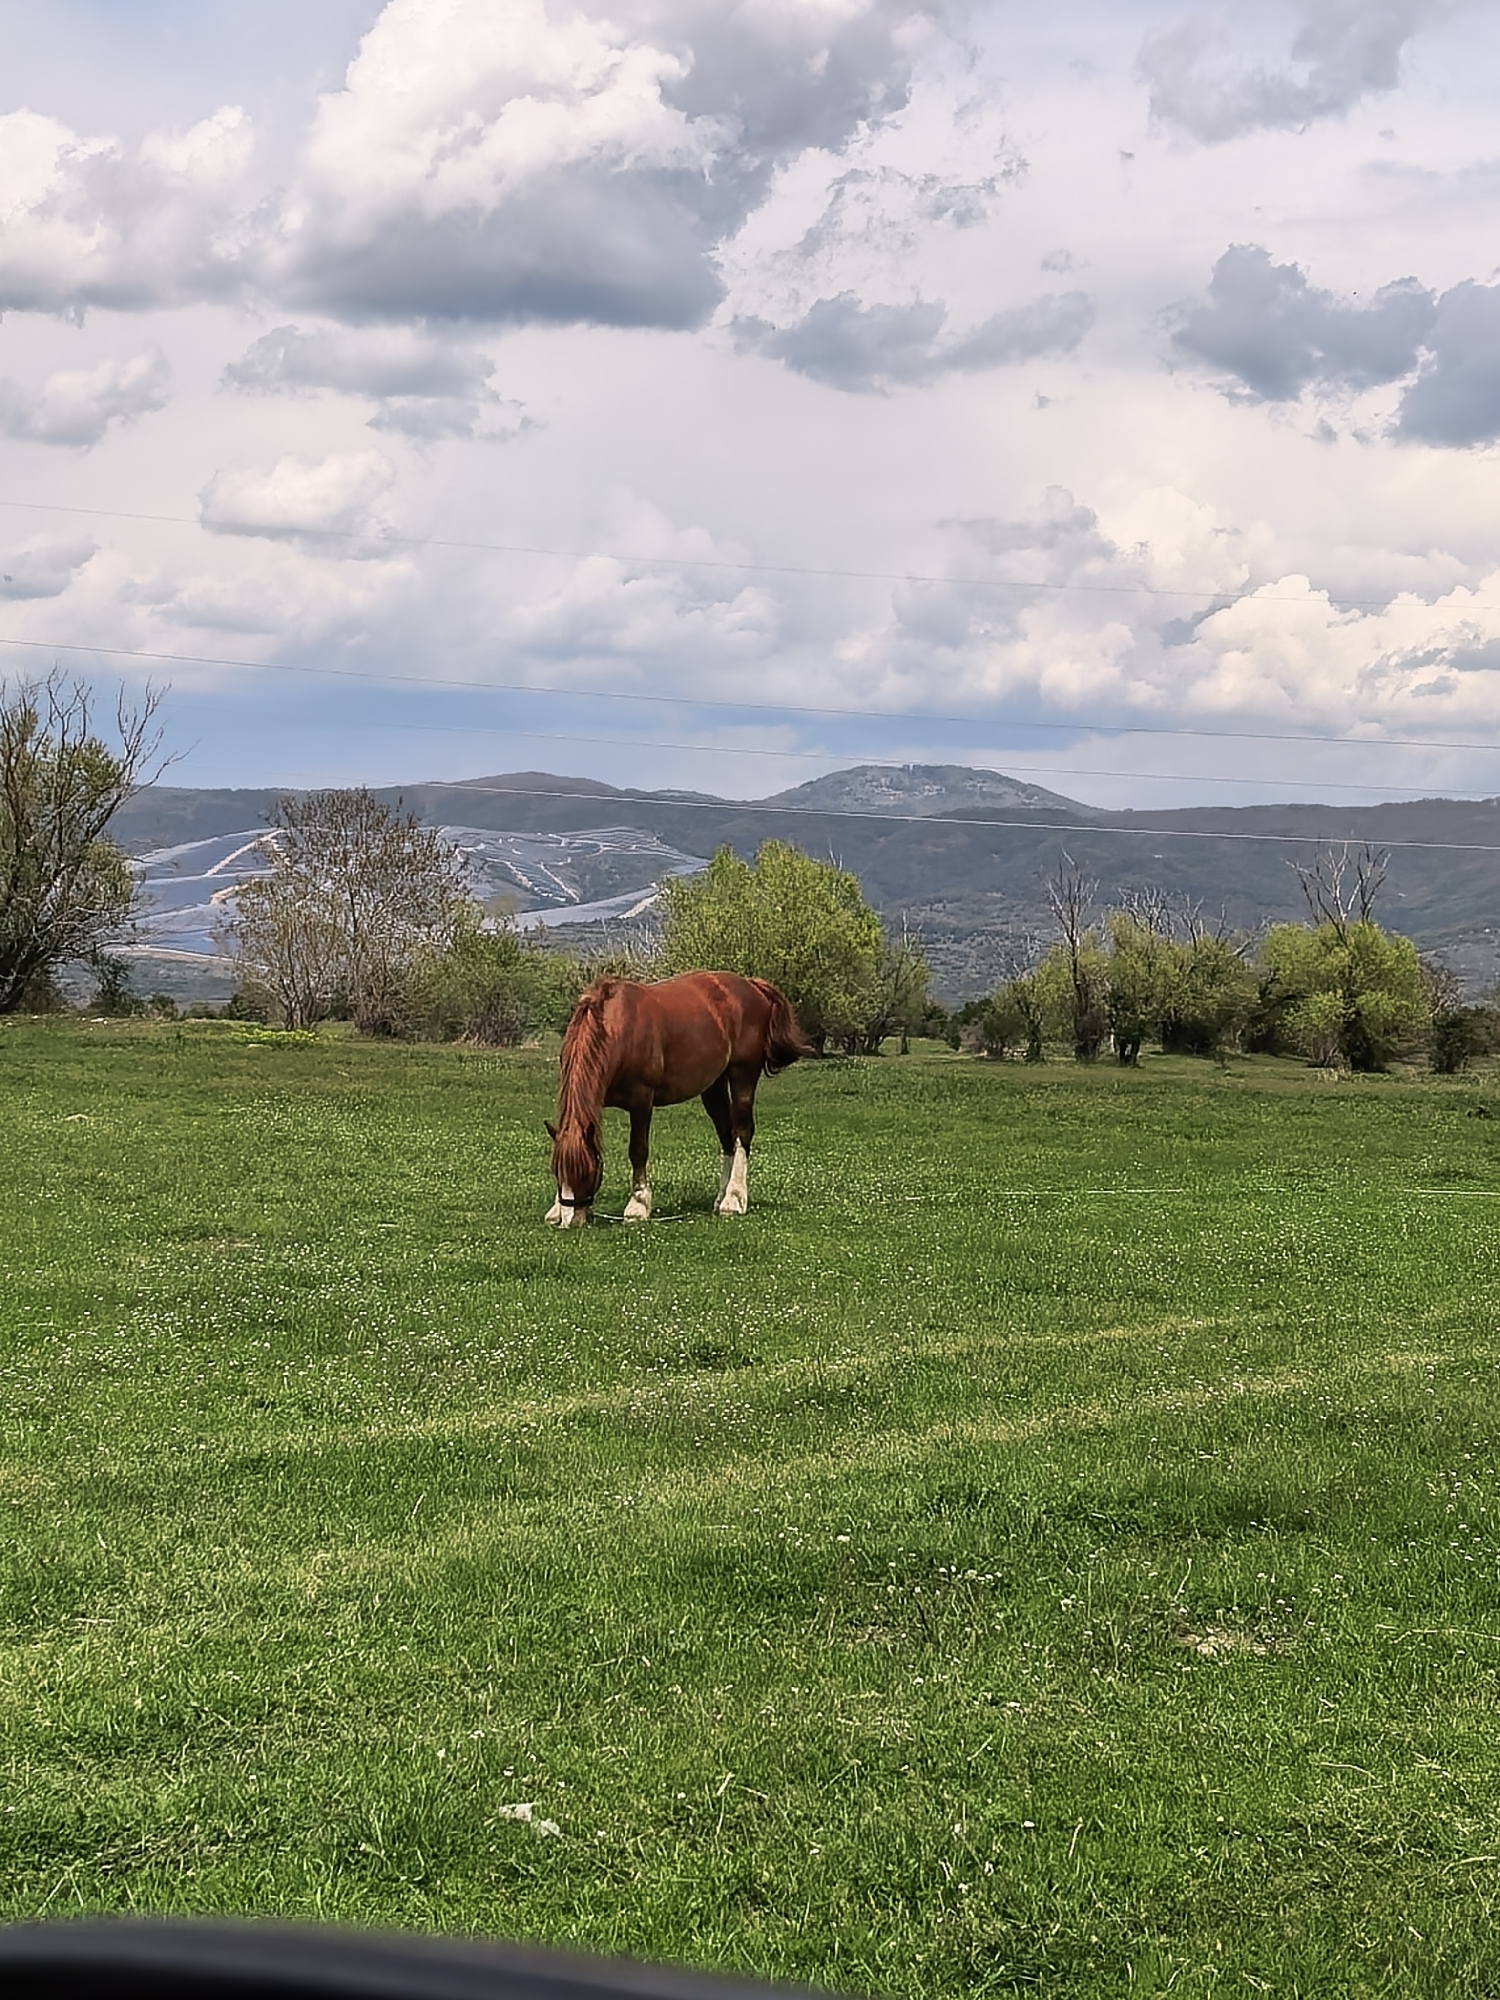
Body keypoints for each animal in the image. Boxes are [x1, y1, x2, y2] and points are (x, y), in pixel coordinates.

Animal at [545, 971, 813, 1226]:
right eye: (557, 1171)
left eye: (587, 1172)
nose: (570, 1221)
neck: (618, 1029)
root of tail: (752, 984)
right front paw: (556, 1209)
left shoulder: (642, 1100)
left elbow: (638, 1150)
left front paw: (638, 1205)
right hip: (713, 1085)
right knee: (726, 1135)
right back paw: (721, 1198)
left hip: (743, 1074)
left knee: (741, 1132)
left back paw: (734, 1199)